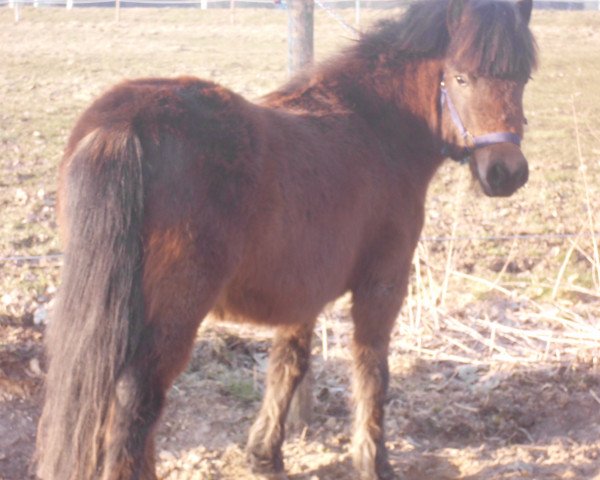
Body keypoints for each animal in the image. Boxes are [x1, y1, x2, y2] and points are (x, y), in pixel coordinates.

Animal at [35, 0, 536, 478]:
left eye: (523, 78)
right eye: (461, 76)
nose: (505, 172)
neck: (374, 128)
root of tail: (124, 123)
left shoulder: (302, 291)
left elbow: (288, 365)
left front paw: (265, 453)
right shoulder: (383, 284)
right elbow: (372, 369)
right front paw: (373, 461)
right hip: (175, 312)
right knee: (136, 403)